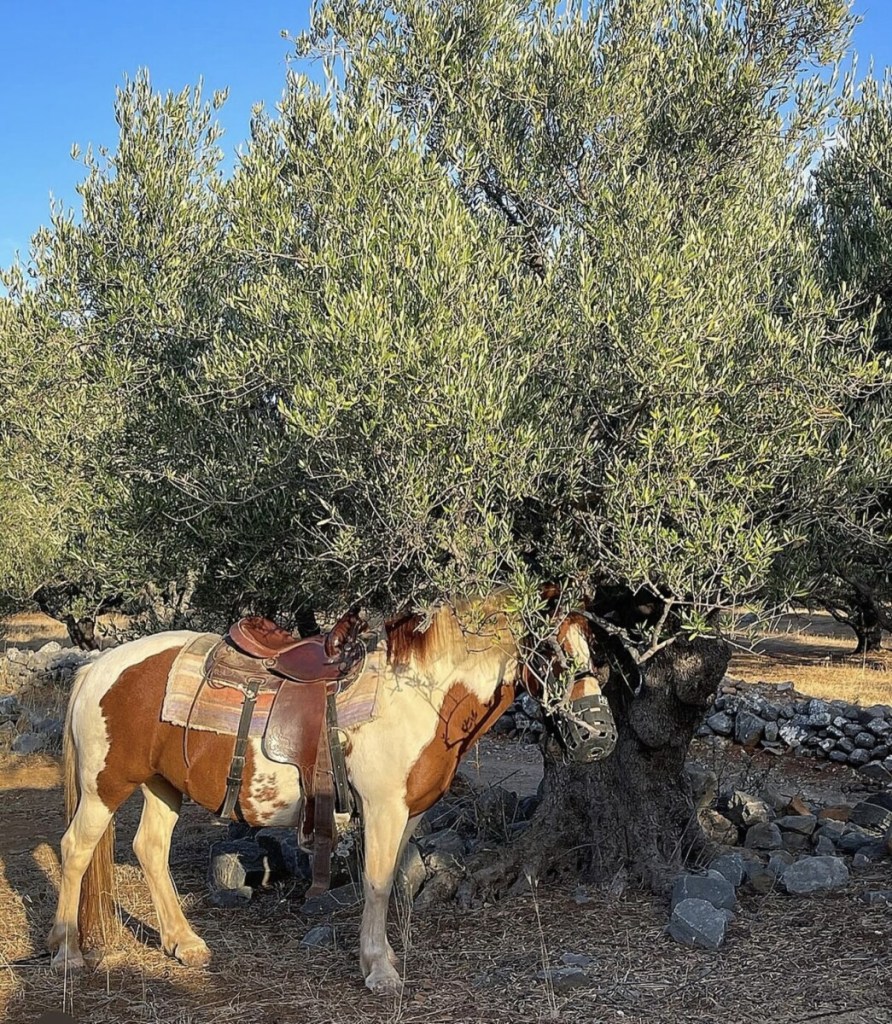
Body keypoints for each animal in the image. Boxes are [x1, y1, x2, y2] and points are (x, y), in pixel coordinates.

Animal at [48, 598, 618, 991]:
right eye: (551, 651)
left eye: (595, 652)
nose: (601, 736)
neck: (420, 697)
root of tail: (98, 666)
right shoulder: (384, 808)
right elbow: (379, 884)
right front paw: (380, 971)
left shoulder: (408, 813)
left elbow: (390, 882)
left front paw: (381, 955)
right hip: (104, 787)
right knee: (74, 850)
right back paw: (68, 952)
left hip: (163, 786)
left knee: (149, 849)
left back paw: (185, 944)